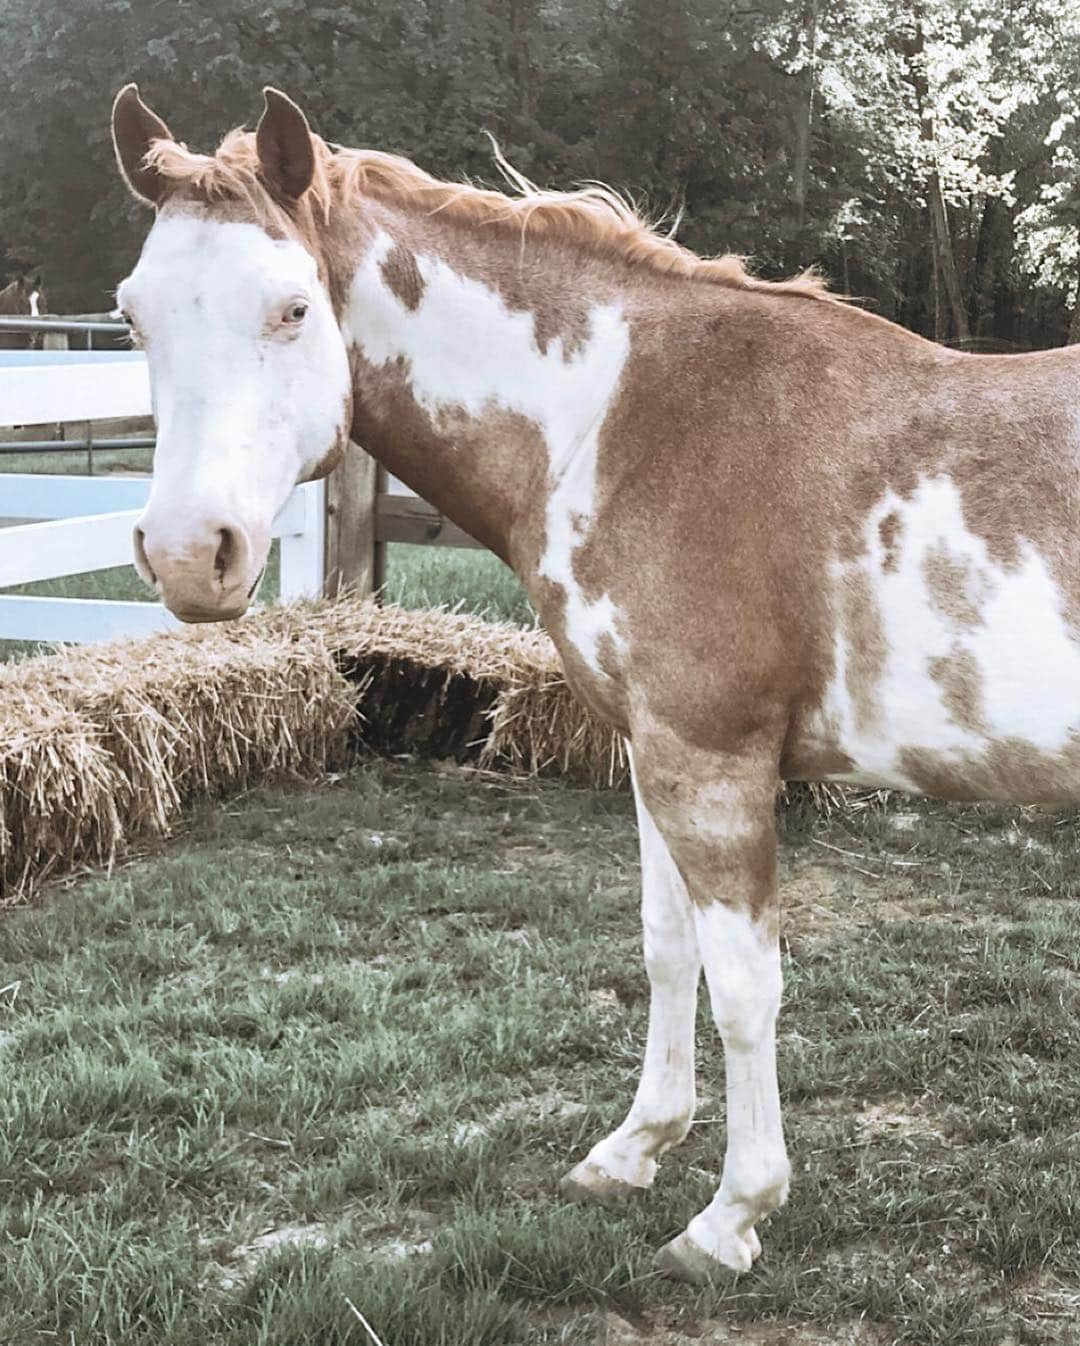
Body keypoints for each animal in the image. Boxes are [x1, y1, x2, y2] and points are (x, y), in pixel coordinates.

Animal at [109, 84, 1077, 1281]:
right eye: (134, 317)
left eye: (291, 309)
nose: (190, 554)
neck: (626, 425)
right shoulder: (648, 749)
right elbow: (669, 950)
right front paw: (635, 1148)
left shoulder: (712, 763)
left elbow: (746, 987)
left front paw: (732, 1214)